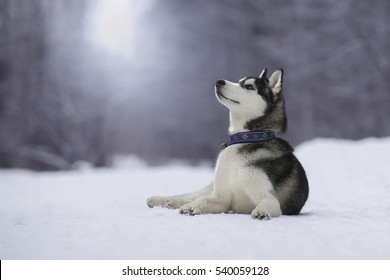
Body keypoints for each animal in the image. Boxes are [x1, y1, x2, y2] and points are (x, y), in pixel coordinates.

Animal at [148, 69, 310, 220]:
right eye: (239, 81)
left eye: (249, 86)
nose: (219, 81)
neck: (247, 138)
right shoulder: (221, 198)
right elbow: (202, 199)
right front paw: (191, 207)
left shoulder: (268, 199)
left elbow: (267, 203)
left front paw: (261, 211)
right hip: (212, 185)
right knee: (192, 194)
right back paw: (162, 199)